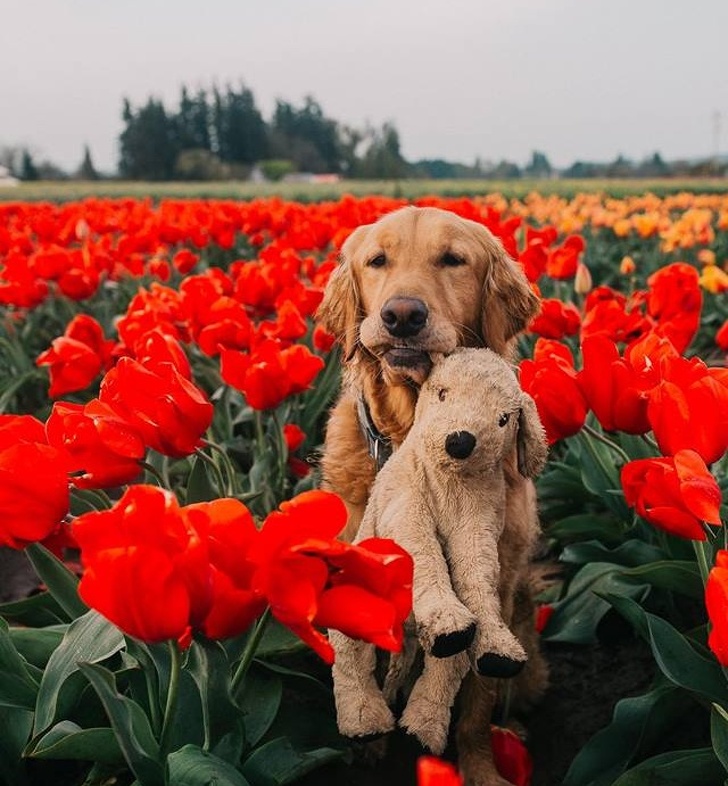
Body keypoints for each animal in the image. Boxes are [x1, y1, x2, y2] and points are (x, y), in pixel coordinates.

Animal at [318, 207, 544, 784]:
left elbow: (477, 702)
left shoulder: (499, 583)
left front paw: (480, 768)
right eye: (377, 260)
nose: (402, 315)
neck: (411, 436)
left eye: (453, 259)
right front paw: (369, 743)